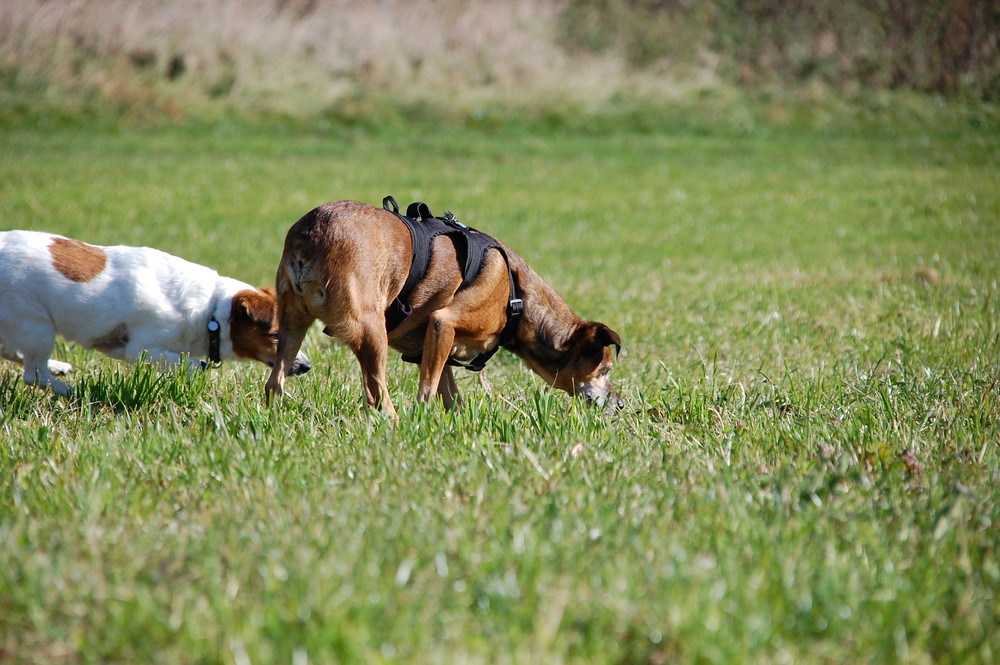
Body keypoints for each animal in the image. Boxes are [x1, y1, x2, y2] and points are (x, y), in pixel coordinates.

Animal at [0, 230, 312, 394]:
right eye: (274, 335)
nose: (307, 366)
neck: (211, 313)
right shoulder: (139, 349)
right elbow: (191, 364)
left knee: (15, 354)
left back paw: (58, 368)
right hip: (36, 325)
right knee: (33, 374)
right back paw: (73, 391)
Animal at [266, 197, 624, 416]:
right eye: (605, 369)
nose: (621, 405)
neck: (517, 295)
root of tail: (309, 238)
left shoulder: (439, 345)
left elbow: (450, 395)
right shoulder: (443, 322)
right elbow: (426, 392)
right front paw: (422, 422)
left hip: (292, 324)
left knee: (273, 383)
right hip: (371, 330)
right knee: (376, 392)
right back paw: (395, 425)